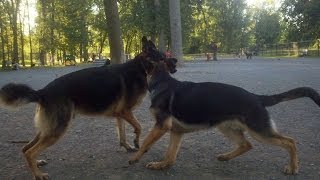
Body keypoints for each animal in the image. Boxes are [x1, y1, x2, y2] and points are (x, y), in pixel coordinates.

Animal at [0, 36, 172, 179]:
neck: (140, 67)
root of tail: (42, 91)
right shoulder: (126, 112)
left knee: (25, 148)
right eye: (163, 58)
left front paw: (128, 146)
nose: (175, 61)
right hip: (57, 130)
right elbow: (139, 127)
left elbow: (122, 134)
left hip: (48, 129)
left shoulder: (120, 114)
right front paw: (136, 141)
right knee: (30, 152)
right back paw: (38, 174)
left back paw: (37, 163)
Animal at [129, 59, 320, 175]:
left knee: (290, 142)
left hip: (260, 132)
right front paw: (161, 165)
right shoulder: (176, 132)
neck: (162, 82)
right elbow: (170, 155)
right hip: (227, 128)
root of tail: (257, 97)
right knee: (246, 144)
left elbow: (145, 142)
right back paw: (226, 157)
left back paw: (293, 167)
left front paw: (135, 157)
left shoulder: (161, 126)